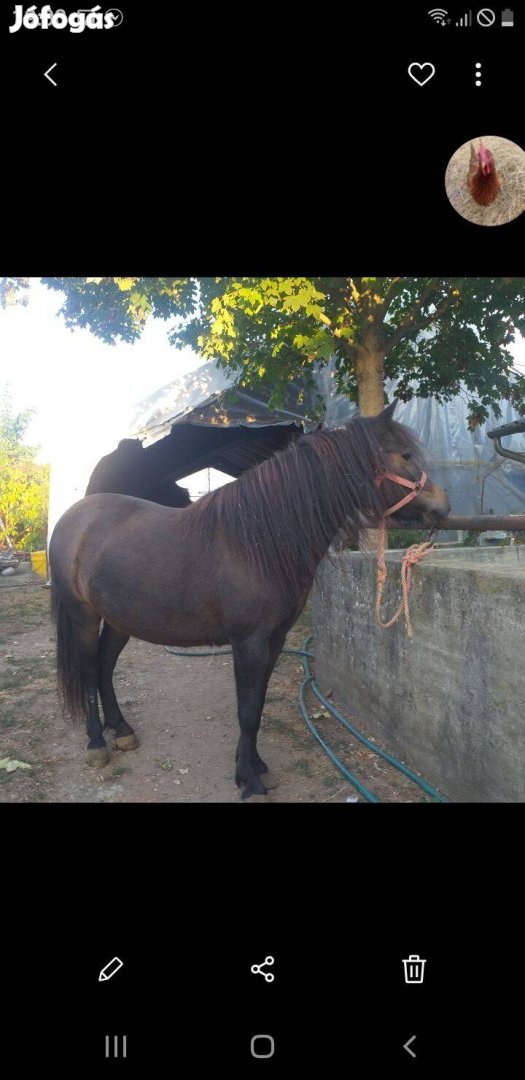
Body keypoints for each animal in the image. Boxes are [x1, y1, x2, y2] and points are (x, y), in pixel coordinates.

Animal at [51, 401, 449, 799]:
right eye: (405, 454)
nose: (442, 508)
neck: (257, 542)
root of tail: (72, 517)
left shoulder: (274, 641)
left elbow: (256, 708)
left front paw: (257, 768)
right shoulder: (249, 643)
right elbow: (246, 710)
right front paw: (250, 782)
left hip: (121, 619)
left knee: (104, 667)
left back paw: (122, 731)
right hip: (83, 616)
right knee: (89, 670)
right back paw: (96, 744)